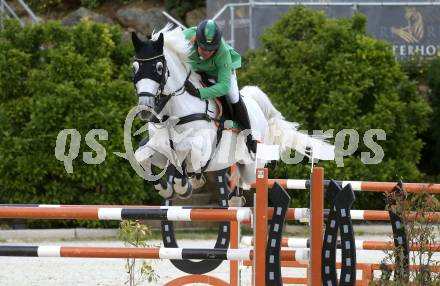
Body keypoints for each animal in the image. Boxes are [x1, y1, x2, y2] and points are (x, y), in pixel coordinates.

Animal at [131, 24, 334, 199]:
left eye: (158, 68)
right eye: (134, 68)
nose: (145, 109)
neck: (174, 112)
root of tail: (257, 105)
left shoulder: (202, 147)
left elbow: (184, 157)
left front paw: (183, 186)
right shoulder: (158, 149)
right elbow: (142, 156)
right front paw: (165, 188)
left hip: (253, 166)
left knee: (255, 173)